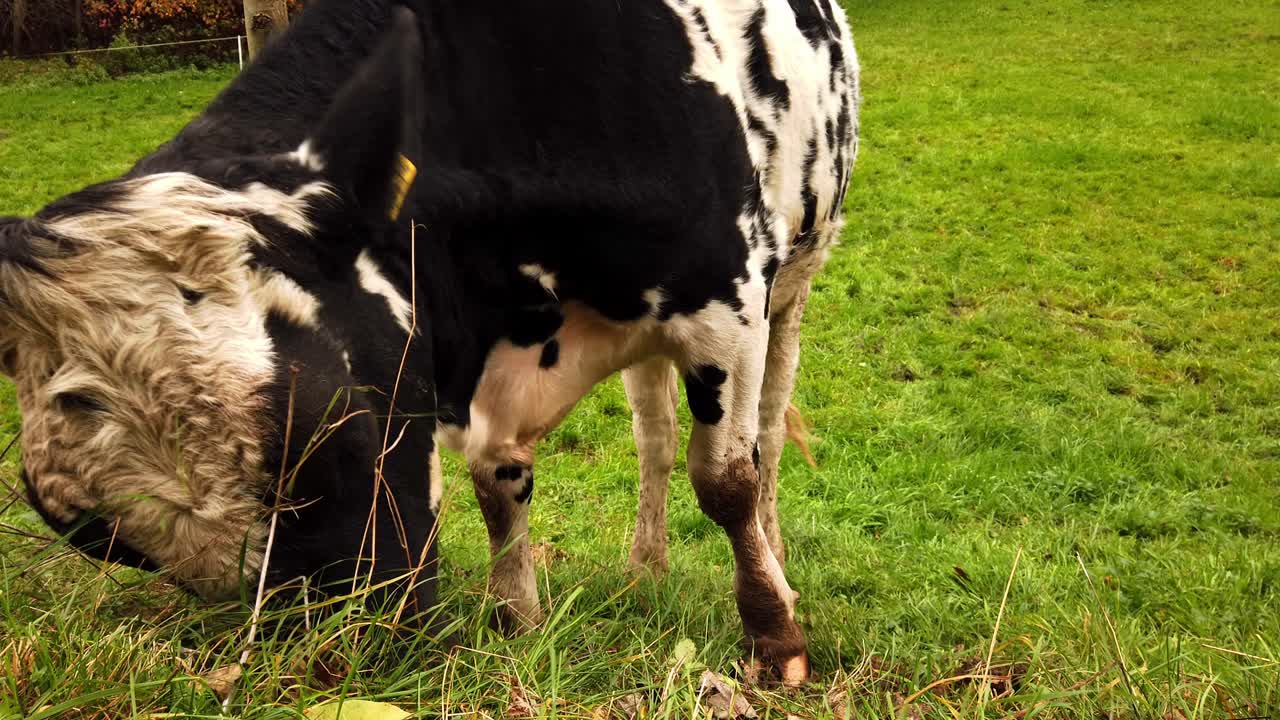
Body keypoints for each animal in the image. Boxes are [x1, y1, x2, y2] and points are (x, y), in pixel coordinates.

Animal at [0, 0, 858, 685]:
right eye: (101, 538)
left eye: (335, 426)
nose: (340, 659)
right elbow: (499, 484)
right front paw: (517, 621)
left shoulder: (729, 294)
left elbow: (726, 481)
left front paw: (775, 638)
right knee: (653, 436)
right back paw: (646, 567)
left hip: (797, 278)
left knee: (764, 435)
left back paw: (775, 556)